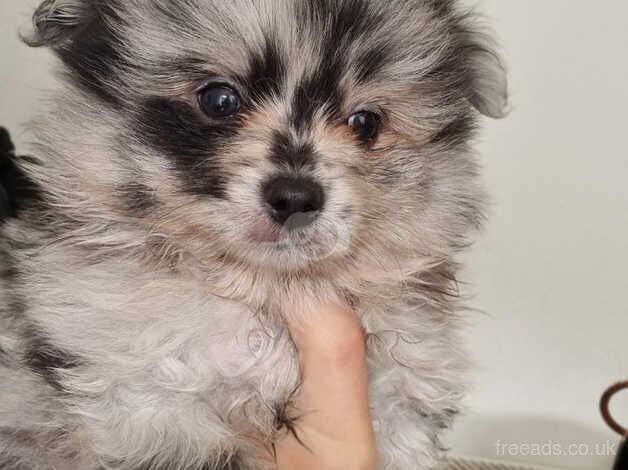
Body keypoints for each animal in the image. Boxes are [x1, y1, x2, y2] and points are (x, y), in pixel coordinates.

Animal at [0, 0, 508, 468]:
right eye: (219, 100)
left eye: (366, 123)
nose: (295, 197)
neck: (264, 292)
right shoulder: (145, 402)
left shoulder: (404, 384)